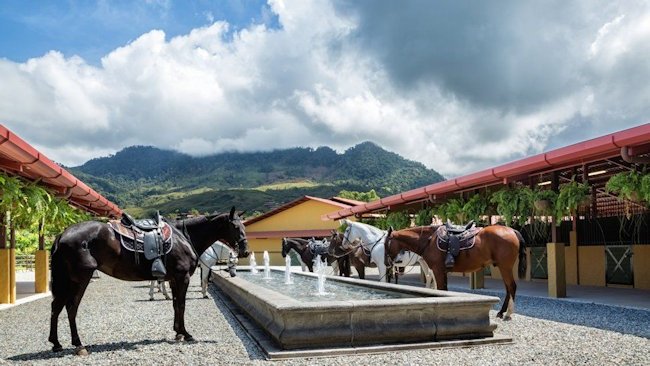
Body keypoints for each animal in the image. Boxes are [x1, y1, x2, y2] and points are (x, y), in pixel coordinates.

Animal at [47, 207, 248, 356]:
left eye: (243, 226)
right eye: (235, 227)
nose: (245, 251)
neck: (184, 237)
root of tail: (62, 235)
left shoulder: (173, 279)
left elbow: (176, 305)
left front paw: (177, 332)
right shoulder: (182, 277)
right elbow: (182, 305)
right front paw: (185, 333)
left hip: (67, 281)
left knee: (56, 307)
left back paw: (56, 343)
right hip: (80, 279)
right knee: (71, 307)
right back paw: (79, 345)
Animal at [382, 224, 524, 318]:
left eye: (385, 244)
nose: (386, 263)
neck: (429, 240)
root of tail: (512, 230)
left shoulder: (438, 270)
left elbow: (441, 290)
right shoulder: (441, 271)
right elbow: (444, 290)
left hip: (505, 267)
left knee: (511, 286)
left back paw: (508, 313)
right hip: (503, 267)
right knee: (508, 288)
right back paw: (501, 312)